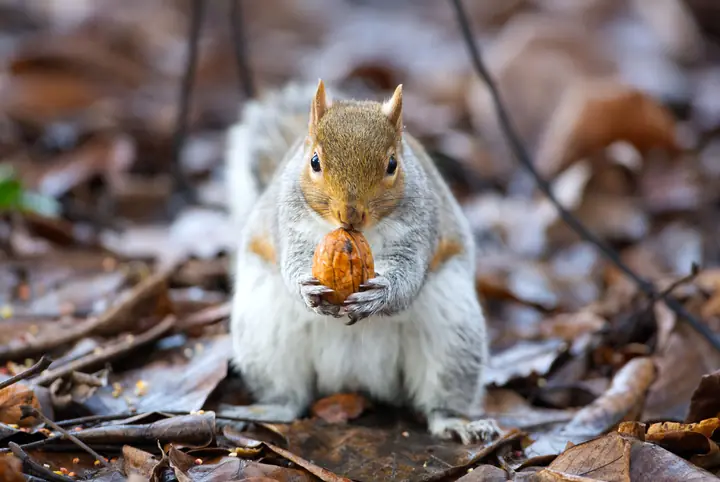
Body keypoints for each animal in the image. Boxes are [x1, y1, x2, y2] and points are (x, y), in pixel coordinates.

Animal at [224, 79, 500, 444]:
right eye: (314, 161)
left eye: (392, 165)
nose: (350, 214)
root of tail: (353, 377)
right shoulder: (287, 222)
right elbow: (291, 261)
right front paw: (306, 287)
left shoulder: (420, 228)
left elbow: (409, 273)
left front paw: (379, 294)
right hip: (264, 334)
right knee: (289, 396)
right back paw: (268, 410)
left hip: (455, 335)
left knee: (442, 398)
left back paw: (457, 423)